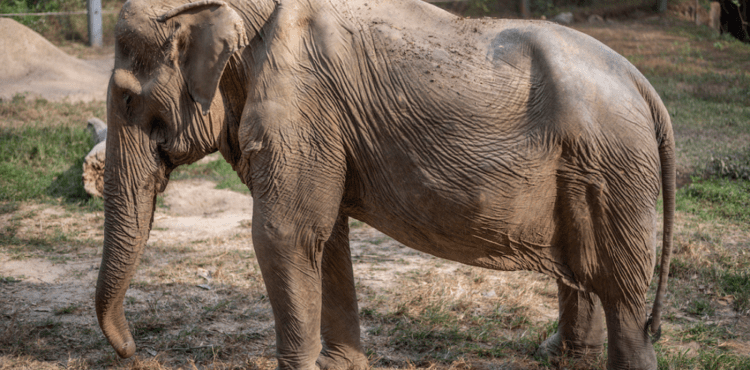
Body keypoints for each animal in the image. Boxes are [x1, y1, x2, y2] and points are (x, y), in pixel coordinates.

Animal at [97, 0, 680, 370]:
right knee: (585, 270)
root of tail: (644, 85)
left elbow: (284, 234)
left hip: (614, 168)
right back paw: (558, 357)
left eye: (126, 99)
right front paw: (339, 366)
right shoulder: (322, 124)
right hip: (589, 168)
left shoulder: (303, 105)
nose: (132, 351)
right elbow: (325, 236)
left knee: (621, 289)